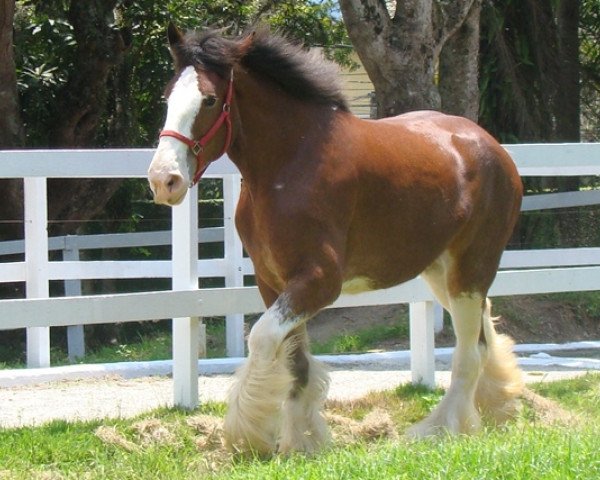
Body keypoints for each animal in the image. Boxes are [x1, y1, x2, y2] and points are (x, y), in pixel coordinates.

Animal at [148, 25, 524, 454]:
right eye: (167, 96)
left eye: (209, 99)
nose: (163, 180)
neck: (291, 164)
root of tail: (493, 147)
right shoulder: (272, 281)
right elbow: (294, 361)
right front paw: (303, 442)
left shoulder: (319, 281)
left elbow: (262, 340)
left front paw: (251, 434)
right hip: (442, 274)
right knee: (482, 333)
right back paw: (498, 407)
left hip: (470, 271)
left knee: (469, 352)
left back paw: (441, 430)